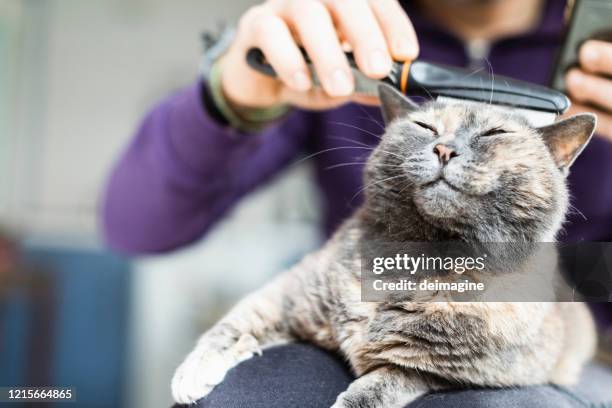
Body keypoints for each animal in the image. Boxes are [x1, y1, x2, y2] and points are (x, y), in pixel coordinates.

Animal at [171, 83, 596, 408]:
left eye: (494, 134)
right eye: (426, 126)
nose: (444, 149)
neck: (418, 261)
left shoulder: (441, 371)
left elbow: (378, 388)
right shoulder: (289, 294)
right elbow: (233, 323)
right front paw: (192, 373)